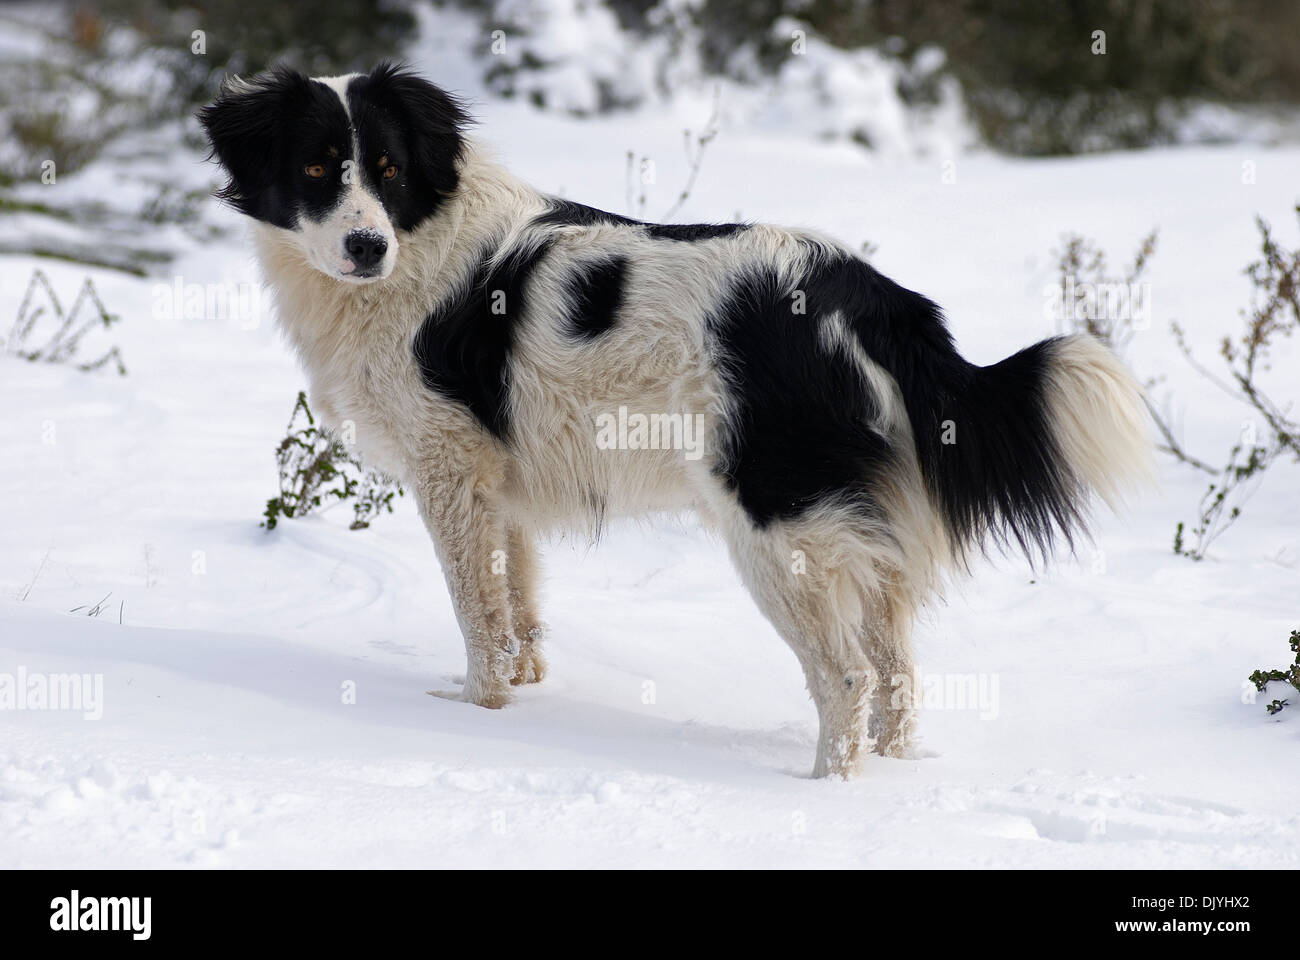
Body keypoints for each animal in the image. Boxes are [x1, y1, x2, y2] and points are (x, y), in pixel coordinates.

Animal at [197, 61, 1154, 780]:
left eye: (388, 172)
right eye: (316, 170)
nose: (366, 248)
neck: (420, 242)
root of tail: (862, 290)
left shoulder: (449, 468)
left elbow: (477, 613)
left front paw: (476, 712)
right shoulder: (499, 481)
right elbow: (518, 601)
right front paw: (524, 690)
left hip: (778, 525)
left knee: (846, 678)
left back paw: (826, 793)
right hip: (855, 529)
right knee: (897, 676)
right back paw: (893, 774)